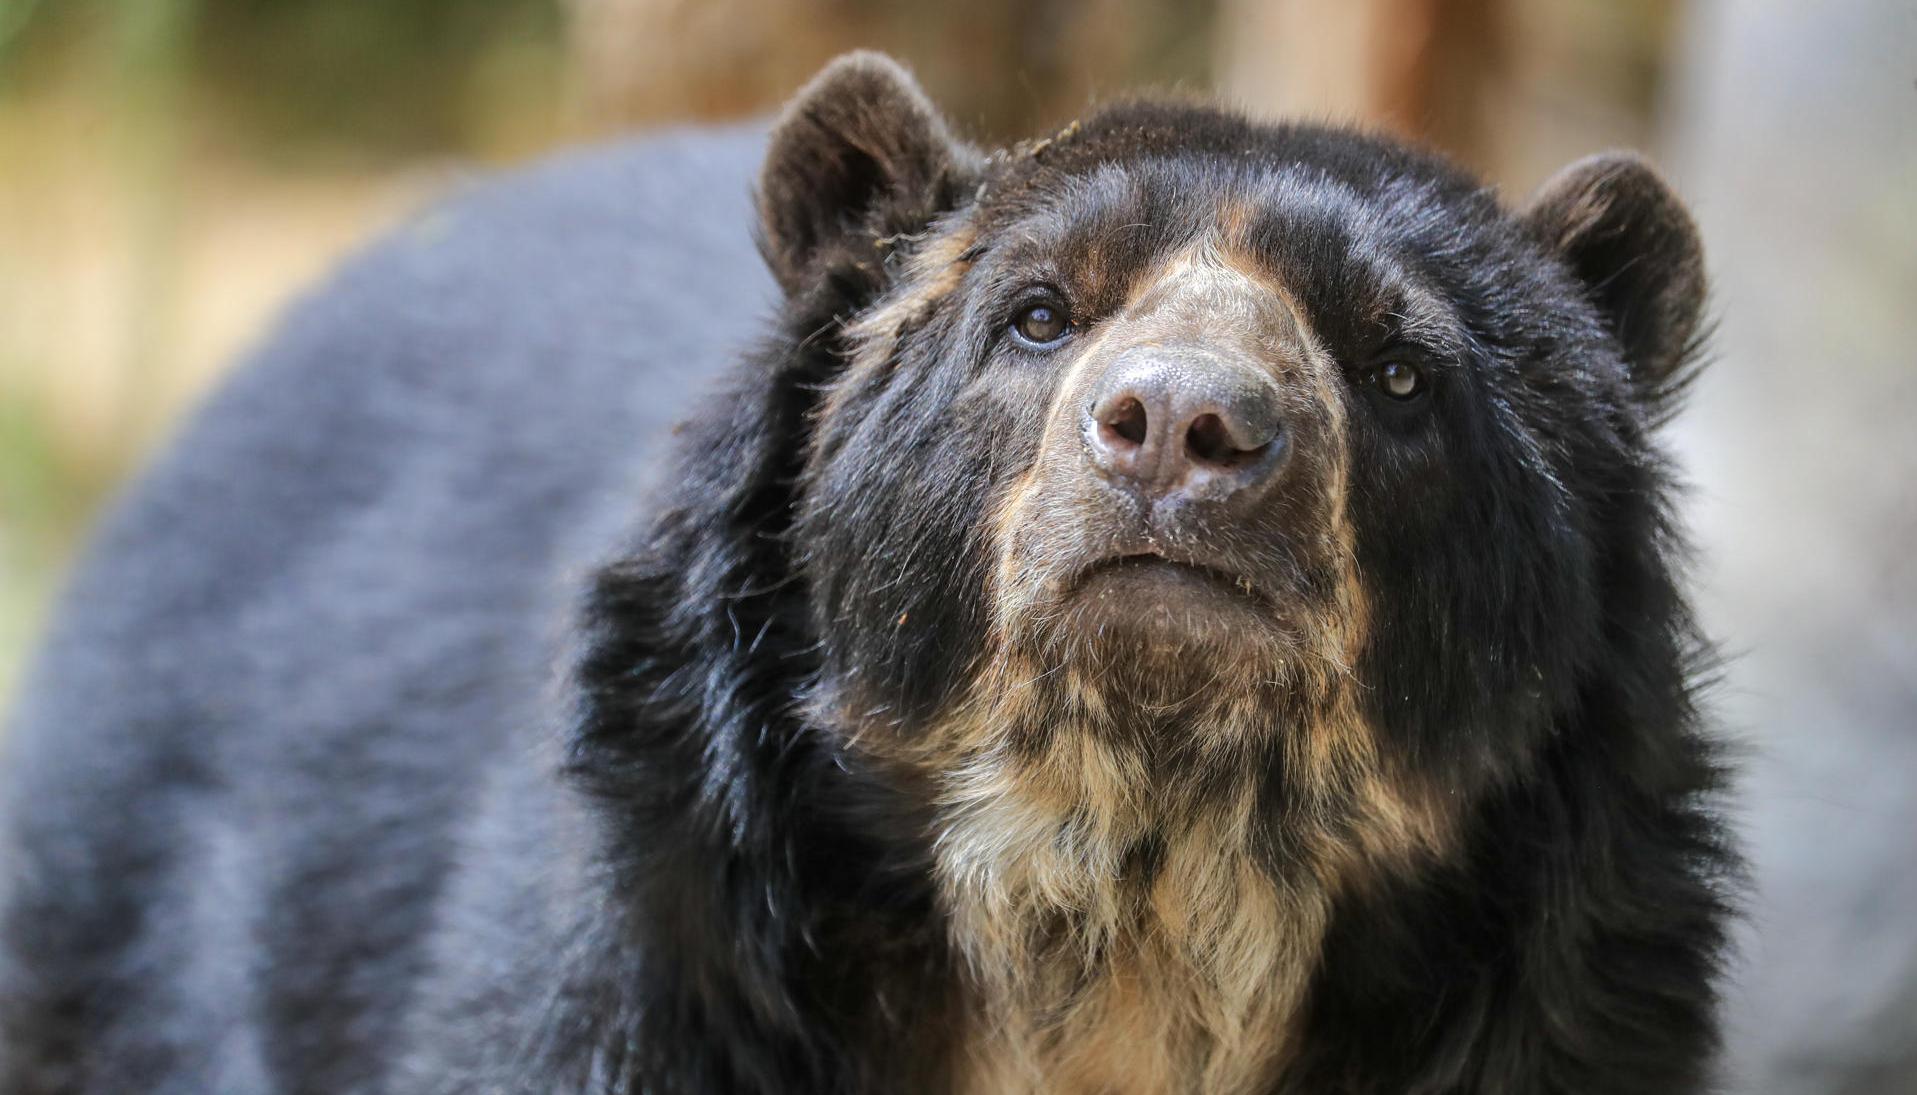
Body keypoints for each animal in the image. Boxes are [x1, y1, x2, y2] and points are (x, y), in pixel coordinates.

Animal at [3, 49, 1740, 1095]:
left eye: (1397, 370)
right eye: (1037, 313)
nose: (1183, 426)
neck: (1132, 881)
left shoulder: (1571, 987)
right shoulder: (658, 964)